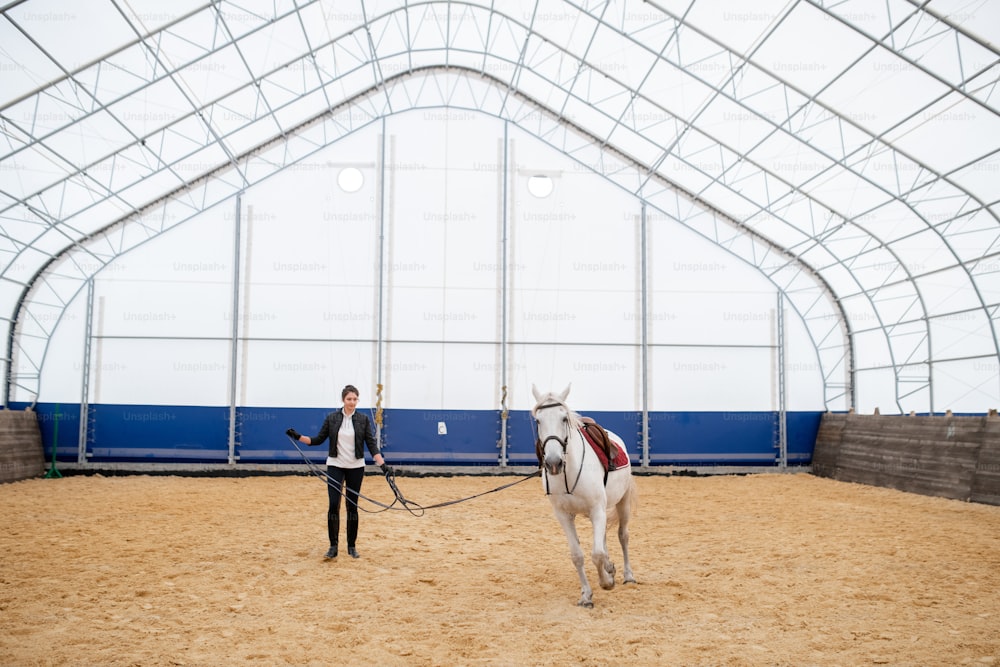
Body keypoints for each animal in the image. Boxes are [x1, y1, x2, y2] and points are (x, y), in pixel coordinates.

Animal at [528, 384, 636, 608]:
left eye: (564, 418)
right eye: (538, 420)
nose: (553, 463)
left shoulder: (597, 509)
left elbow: (596, 554)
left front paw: (606, 582)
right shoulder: (563, 515)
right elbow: (578, 555)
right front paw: (586, 595)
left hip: (623, 503)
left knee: (623, 535)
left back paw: (628, 575)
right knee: (603, 538)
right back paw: (610, 567)